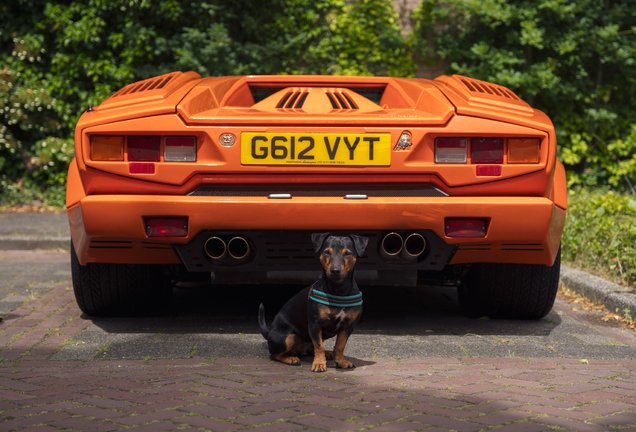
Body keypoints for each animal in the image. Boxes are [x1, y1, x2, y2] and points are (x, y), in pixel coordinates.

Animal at [258, 233, 368, 372]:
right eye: (326, 252)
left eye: (347, 253)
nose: (335, 270)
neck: (339, 289)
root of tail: (269, 333)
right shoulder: (315, 324)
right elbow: (319, 346)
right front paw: (319, 364)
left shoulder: (348, 326)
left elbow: (340, 345)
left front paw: (341, 362)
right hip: (286, 337)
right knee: (275, 354)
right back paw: (291, 359)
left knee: (311, 349)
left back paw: (328, 353)